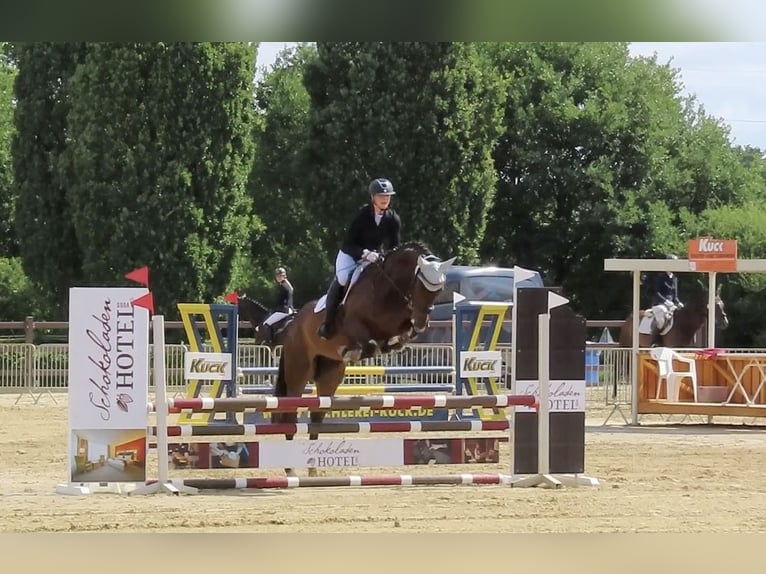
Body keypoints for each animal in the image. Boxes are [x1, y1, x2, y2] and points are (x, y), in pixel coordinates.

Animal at [272, 242, 460, 476]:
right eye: (420, 286)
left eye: (440, 290)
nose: (421, 323)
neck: (389, 289)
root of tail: (292, 325)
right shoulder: (354, 325)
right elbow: (368, 342)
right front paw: (358, 350)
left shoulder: (401, 323)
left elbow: (399, 336)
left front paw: (394, 343)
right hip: (298, 370)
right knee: (290, 415)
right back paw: (290, 470)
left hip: (329, 375)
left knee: (316, 417)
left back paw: (312, 468)